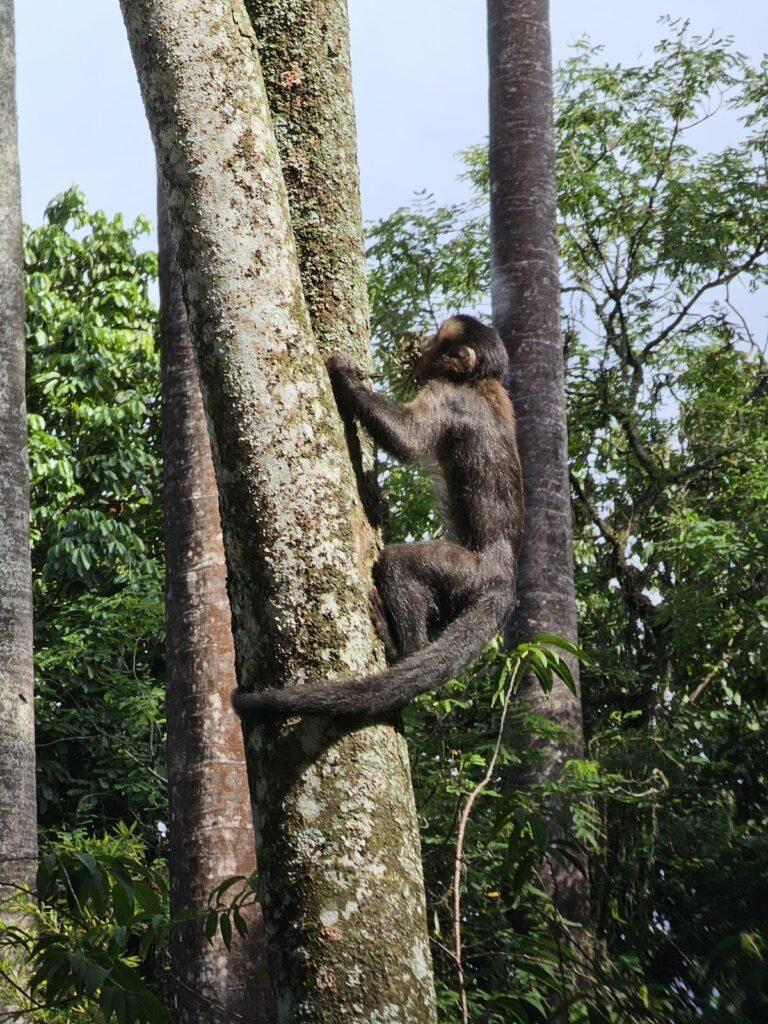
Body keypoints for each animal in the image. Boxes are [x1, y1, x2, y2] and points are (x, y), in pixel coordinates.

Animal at [232, 313, 524, 719]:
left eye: (437, 339)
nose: (422, 341)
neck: (478, 382)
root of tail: (505, 577)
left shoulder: (450, 396)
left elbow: (408, 440)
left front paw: (344, 375)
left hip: (470, 574)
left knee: (400, 563)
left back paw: (402, 649)